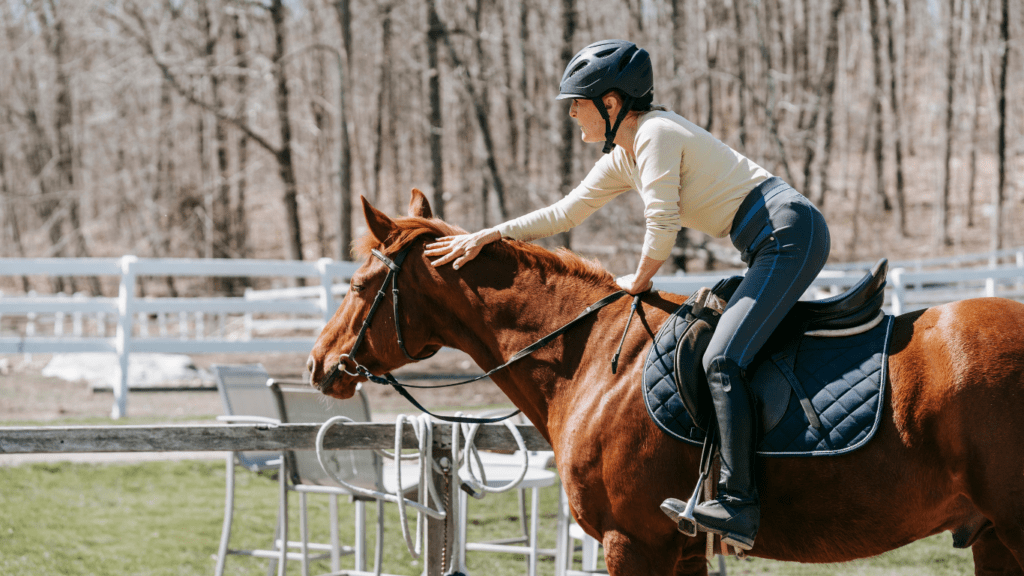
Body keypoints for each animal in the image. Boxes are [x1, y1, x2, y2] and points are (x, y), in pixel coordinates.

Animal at [307, 188, 1024, 573]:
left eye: (360, 285)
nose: (318, 365)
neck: (595, 358)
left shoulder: (633, 542)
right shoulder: (678, 550)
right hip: (993, 537)